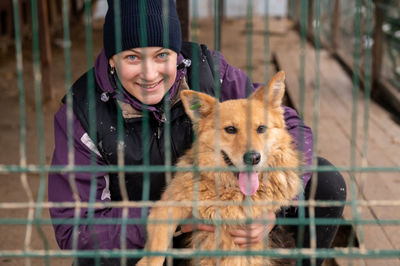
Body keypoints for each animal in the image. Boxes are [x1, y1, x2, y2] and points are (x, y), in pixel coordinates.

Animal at [138, 71, 300, 264]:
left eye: (261, 128)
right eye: (230, 129)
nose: (253, 158)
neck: (229, 191)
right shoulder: (167, 205)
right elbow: (158, 244)